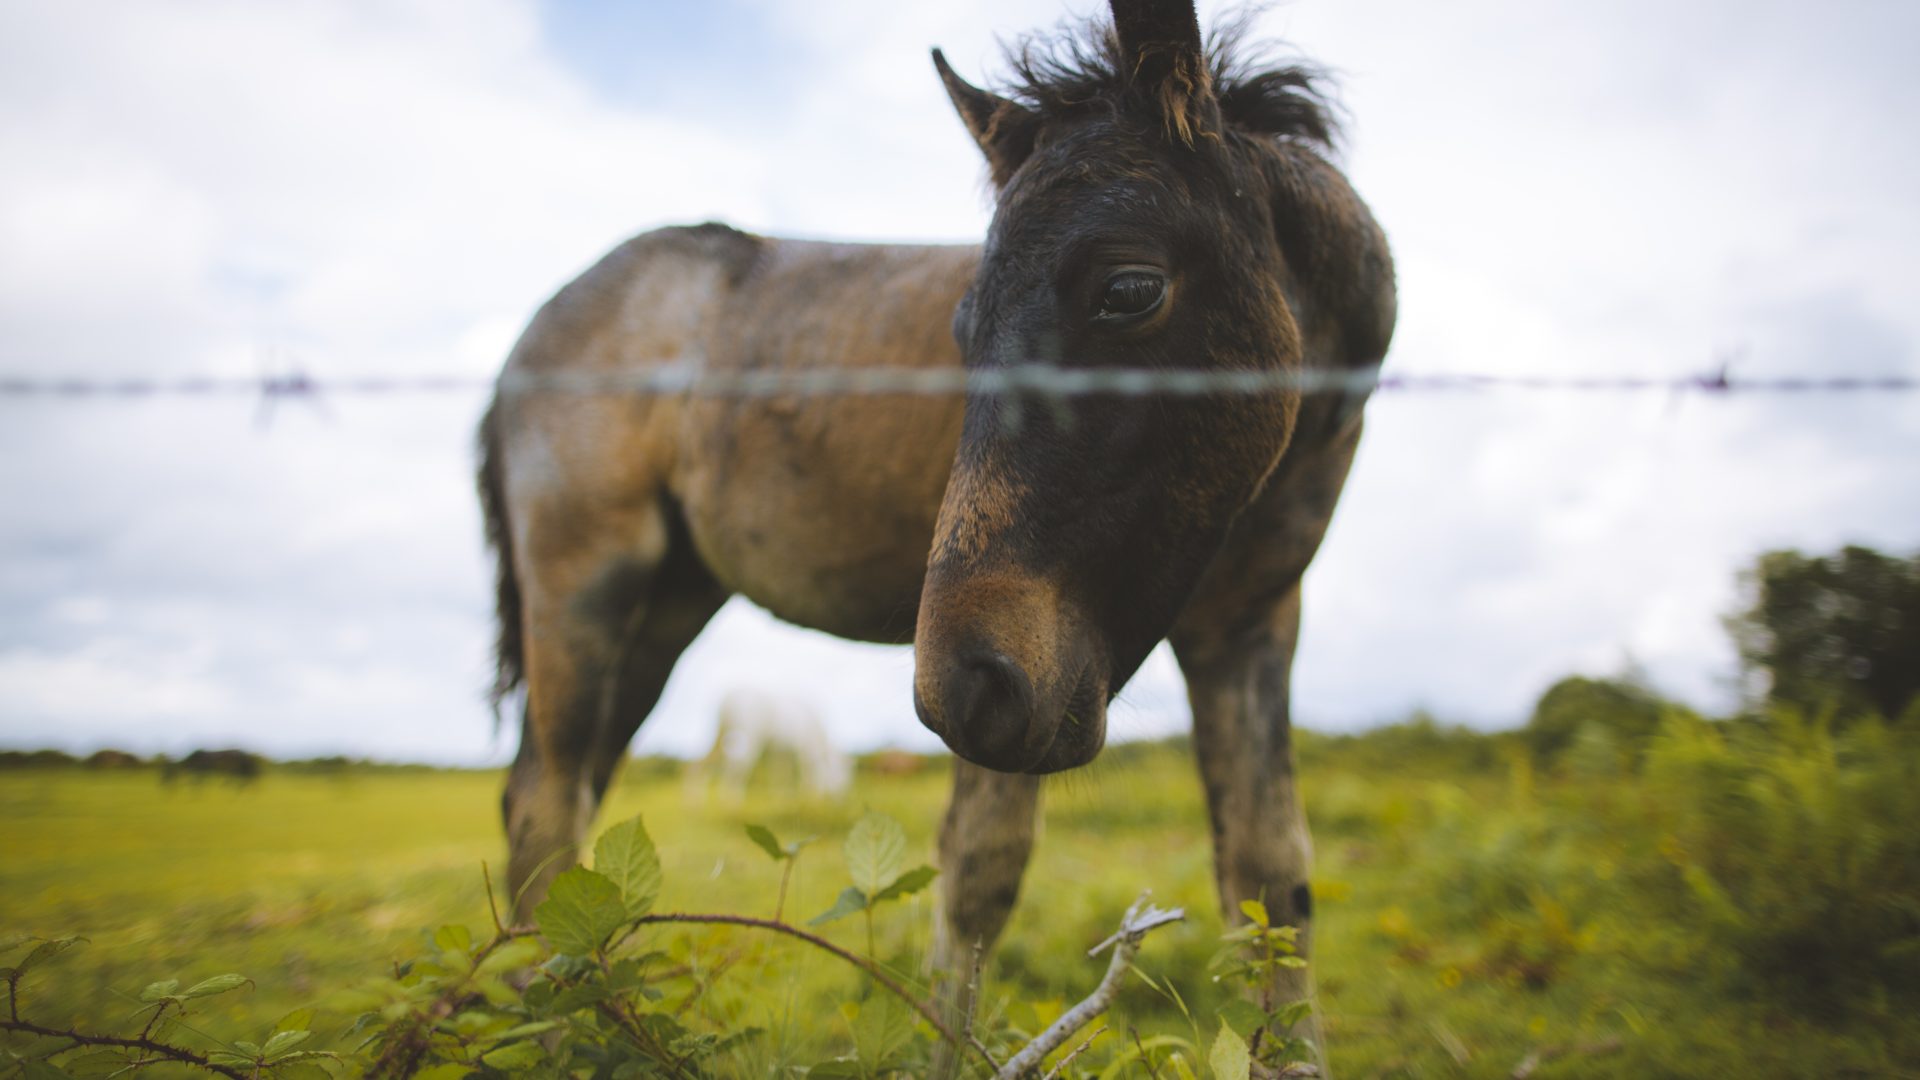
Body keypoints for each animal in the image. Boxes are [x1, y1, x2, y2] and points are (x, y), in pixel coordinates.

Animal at [478, 0, 1394, 1059]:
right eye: (963, 334)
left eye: (1129, 289)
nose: (966, 684)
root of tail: (528, 337)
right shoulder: (1028, 688)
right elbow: (982, 869)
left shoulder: (1249, 625)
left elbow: (1271, 875)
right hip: (584, 585)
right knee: (546, 802)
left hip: (668, 610)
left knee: (567, 792)